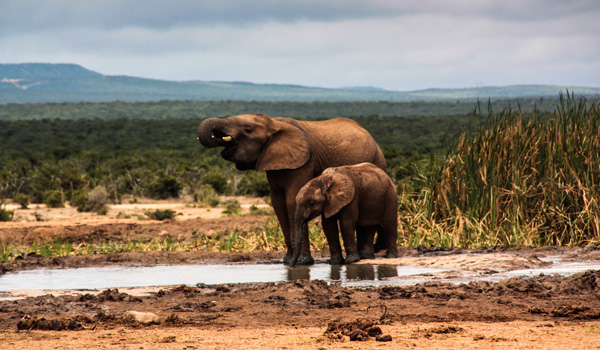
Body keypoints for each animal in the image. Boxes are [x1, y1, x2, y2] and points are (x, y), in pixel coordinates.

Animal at [197, 115, 384, 266]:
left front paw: (302, 262)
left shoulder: (303, 163)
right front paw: (287, 261)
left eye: (247, 129)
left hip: (378, 161)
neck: (273, 123)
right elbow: (278, 204)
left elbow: (291, 200)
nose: (216, 135)